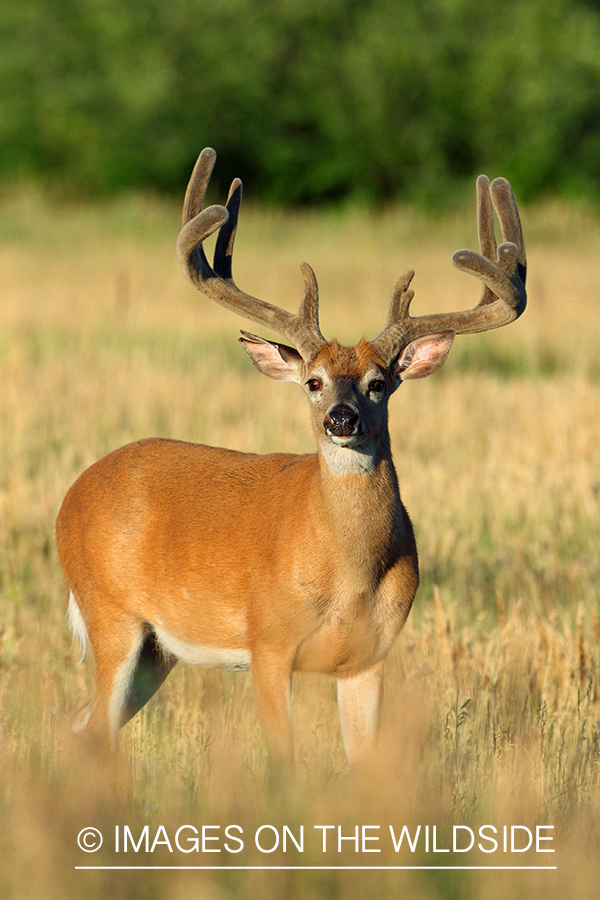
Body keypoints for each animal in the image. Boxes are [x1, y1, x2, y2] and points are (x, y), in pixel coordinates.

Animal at [57, 149, 524, 768]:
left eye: (379, 383)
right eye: (312, 381)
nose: (341, 419)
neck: (346, 570)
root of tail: (71, 496)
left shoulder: (369, 657)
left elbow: (364, 764)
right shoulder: (268, 642)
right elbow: (285, 763)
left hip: (159, 649)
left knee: (79, 725)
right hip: (110, 612)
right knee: (96, 726)